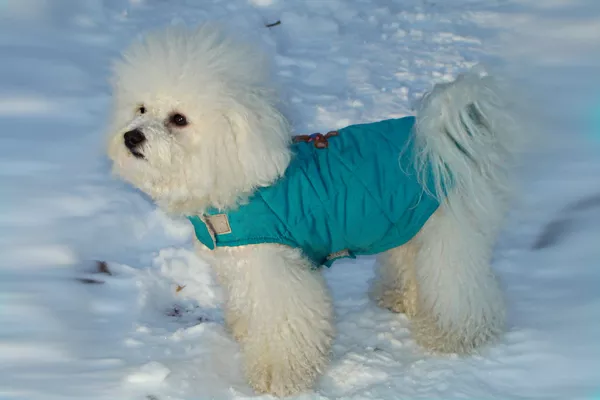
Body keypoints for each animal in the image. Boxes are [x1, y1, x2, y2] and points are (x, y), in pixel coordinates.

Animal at [106, 23, 520, 396]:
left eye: (179, 119)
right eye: (141, 108)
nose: (131, 137)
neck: (237, 178)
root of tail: (443, 137)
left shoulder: (277, 271)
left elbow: (284, 328)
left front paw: (276, 376)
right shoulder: (244, 267)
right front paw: (243, 332)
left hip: (449, 235)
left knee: (459, 287)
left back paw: (455, 335)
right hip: (408, 225)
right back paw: (401, 298)